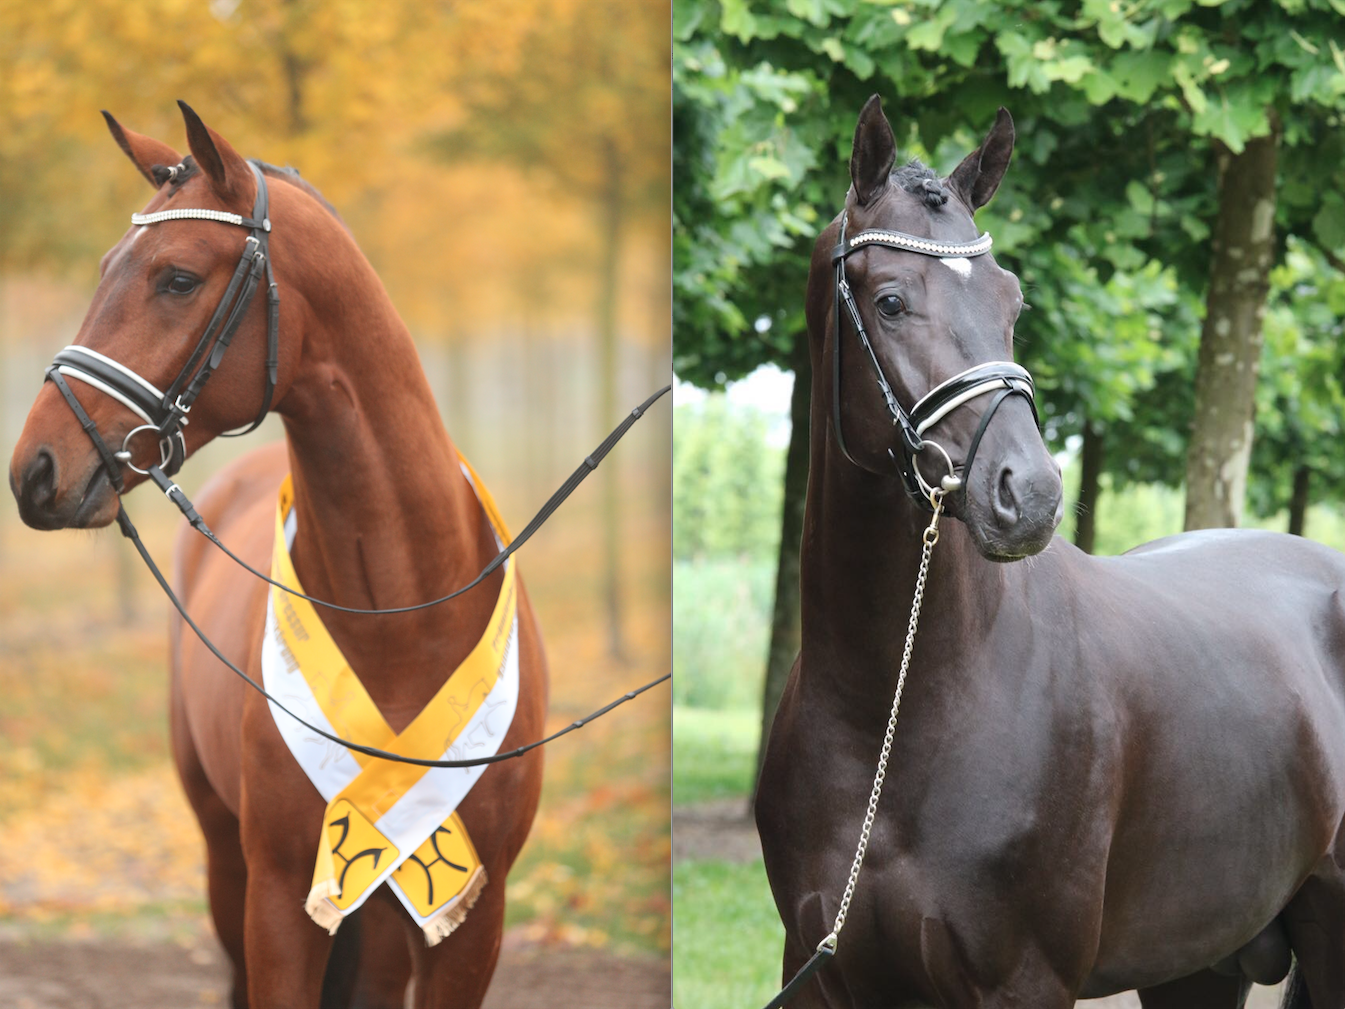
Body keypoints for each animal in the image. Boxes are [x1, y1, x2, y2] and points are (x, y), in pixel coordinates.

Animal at [10, 104, 546, 1009]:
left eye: (177, 278)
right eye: (105, 266)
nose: (35, 470)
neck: (401, 616)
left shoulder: (472, 917)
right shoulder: (278, 900)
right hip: (225, 858)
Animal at [758, 90, 1345, 1006]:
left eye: (1012, 301)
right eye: (889, 300)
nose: (1028, 493)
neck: (889, 710)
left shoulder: (1024, 980)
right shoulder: (820, 971)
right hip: (1196, 963)